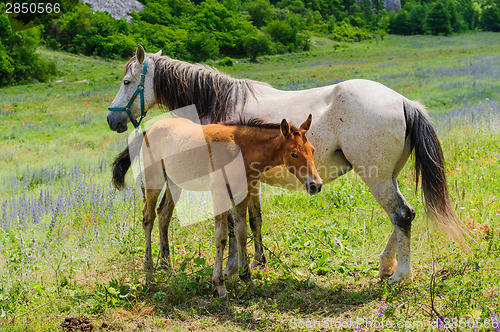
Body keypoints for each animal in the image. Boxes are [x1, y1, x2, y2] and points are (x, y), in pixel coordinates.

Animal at [106, 44, 464, 286]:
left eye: (127, 82)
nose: (112, 119)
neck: (220, 101)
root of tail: (404, 101)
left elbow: (235, 224)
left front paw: (233, 269)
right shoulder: (248, 180)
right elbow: (252, 220)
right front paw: (256, 262)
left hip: (376, 177)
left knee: (401, 215)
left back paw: (399, 274)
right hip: (387, 175)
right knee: (402, 215)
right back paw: (385, 266)